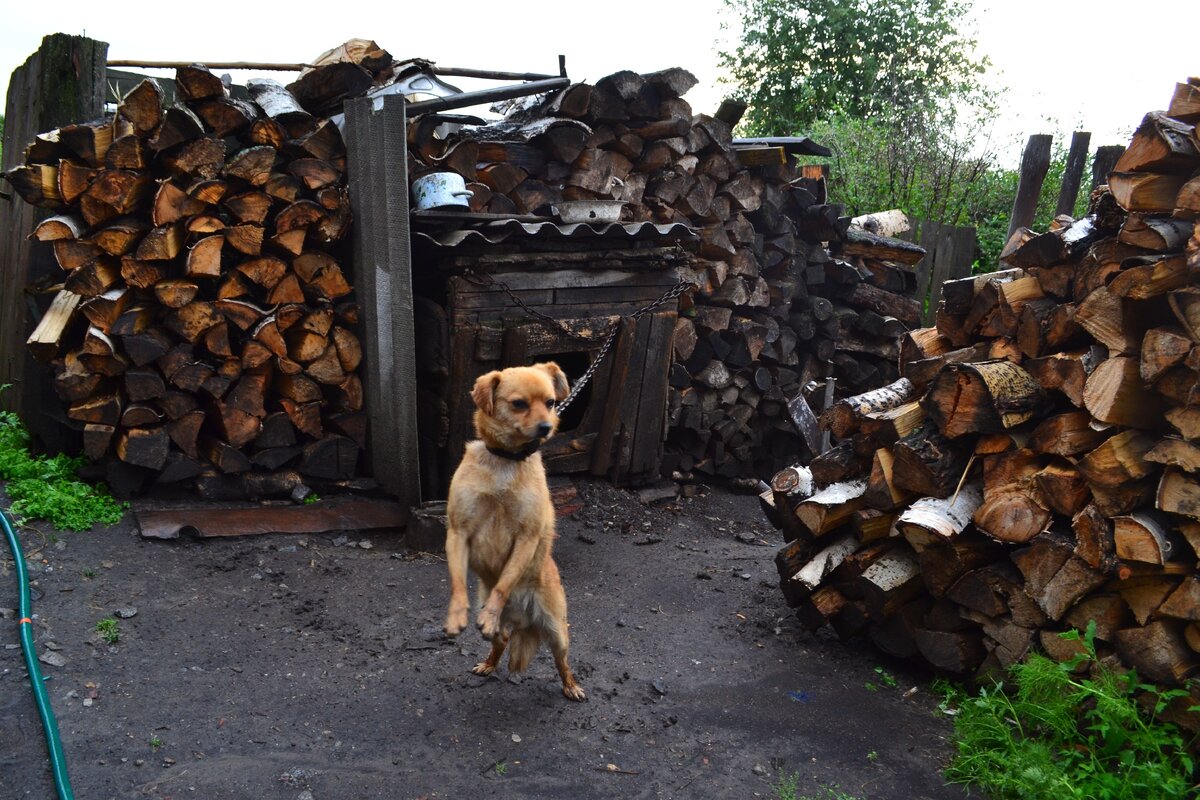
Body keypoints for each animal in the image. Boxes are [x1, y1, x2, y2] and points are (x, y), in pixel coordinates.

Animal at [444, 362, 588, 700]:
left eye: (550, 402)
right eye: (519, 404)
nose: (547, 427)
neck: (505, 461)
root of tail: (524, 618)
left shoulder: (527, 537)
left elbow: (503, 583)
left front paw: (490, 612)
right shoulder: (458, 532)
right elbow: (457, 582)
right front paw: (457, 614)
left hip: (558, 632)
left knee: (562, 663)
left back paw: (571, 686)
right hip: (499, 635)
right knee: (502, 642)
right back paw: (488, 663)